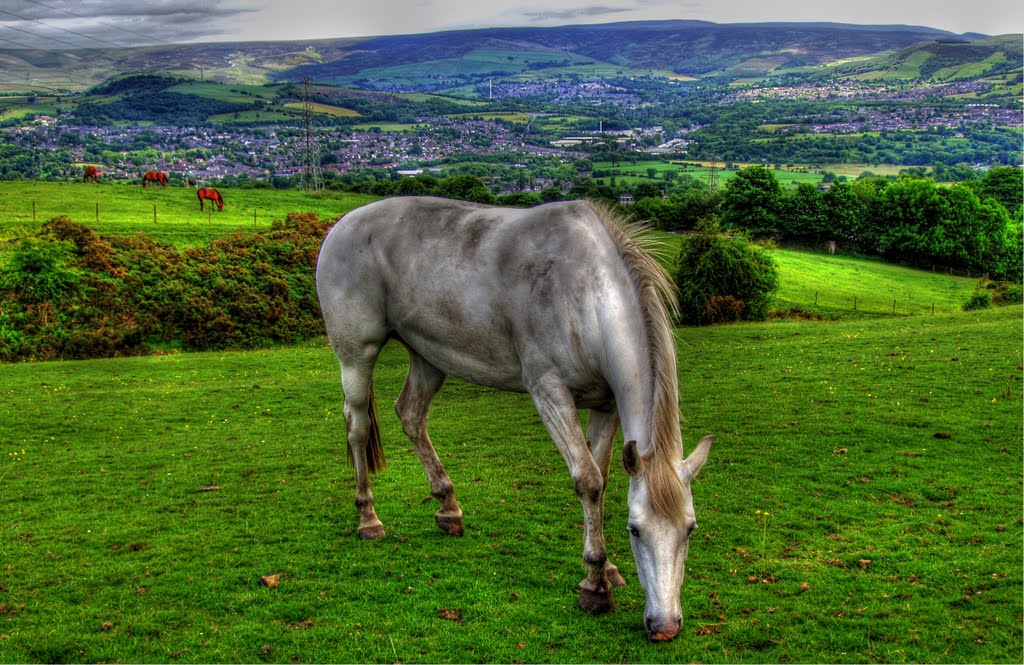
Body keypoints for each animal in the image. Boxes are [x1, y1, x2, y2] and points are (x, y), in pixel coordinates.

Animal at [313, 195, 712, 639]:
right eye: (635, 529)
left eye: (690, 528)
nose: (665, 625)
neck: (583, 291)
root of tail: (342, 224)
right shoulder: (549, 392)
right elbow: (587, 481)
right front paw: (595, 584)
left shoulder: (606, 405)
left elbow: (602, 479)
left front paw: (607, 567)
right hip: (356, 357)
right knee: (358, 427)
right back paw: (368, 517)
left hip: (429, 355)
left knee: (411, 415)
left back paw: (448, 508)